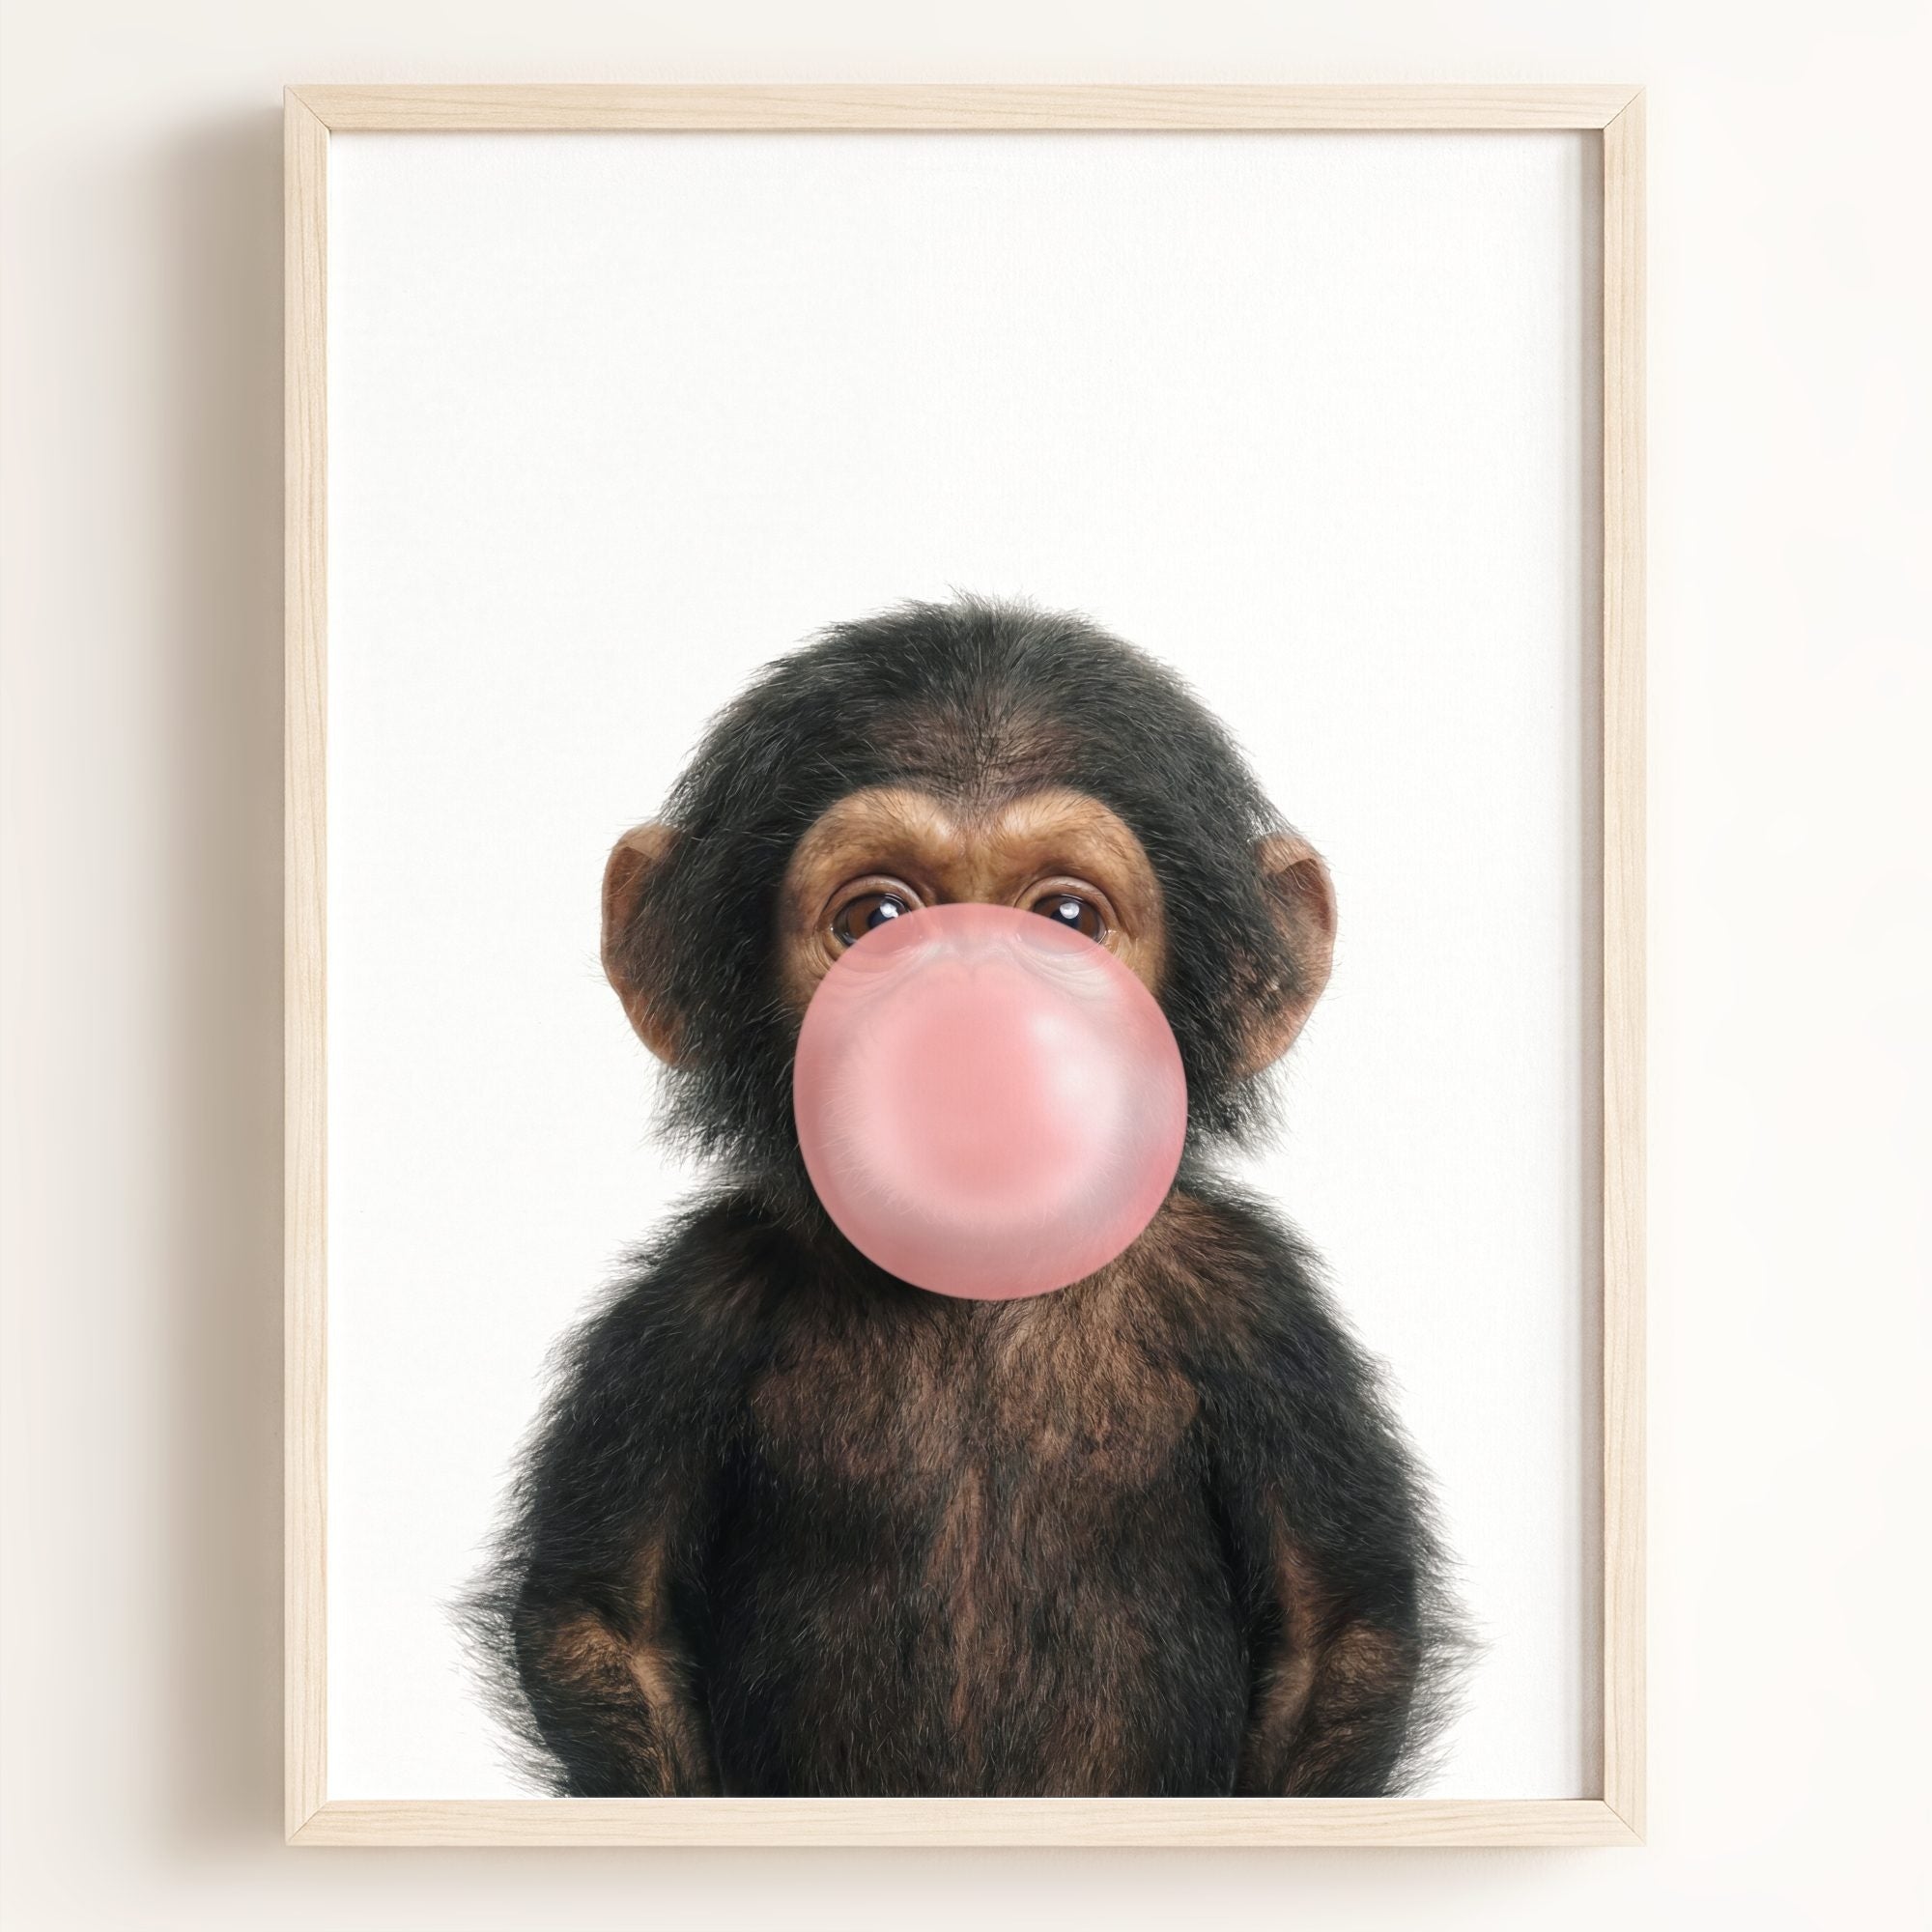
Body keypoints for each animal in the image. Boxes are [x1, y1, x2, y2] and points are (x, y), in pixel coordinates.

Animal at [463, 596, 1466, 1798]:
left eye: (1067, 916)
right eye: (877, 916)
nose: (970, 1013)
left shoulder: (1256, 1307)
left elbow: (1336, 1632)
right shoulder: (687, 1309)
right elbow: (605, 1621)